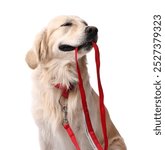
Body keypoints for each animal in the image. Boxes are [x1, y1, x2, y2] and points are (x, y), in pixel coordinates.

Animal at [25, 15, 126, 150]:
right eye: (66, 24)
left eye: (85, 24)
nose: (93, 29)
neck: (64, 81)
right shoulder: (44, 133)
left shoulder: (85, 134)